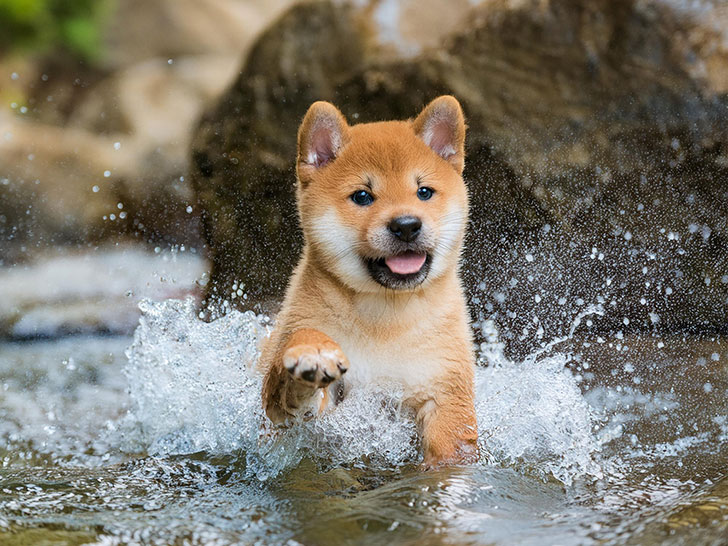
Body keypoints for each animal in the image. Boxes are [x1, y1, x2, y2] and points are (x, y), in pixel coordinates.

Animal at [260, 95, 478, 466]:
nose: (406, 225)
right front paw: (312, 352)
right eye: (362, 196)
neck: (385, 321)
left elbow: (450, 451)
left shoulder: (445, 390)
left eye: (424, 192)